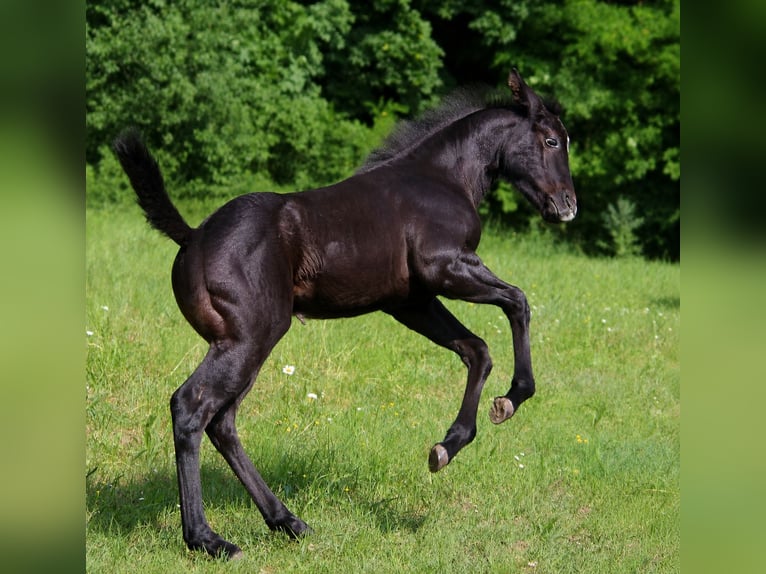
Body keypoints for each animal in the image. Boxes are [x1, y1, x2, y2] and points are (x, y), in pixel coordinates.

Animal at [113, 68, 576, 559]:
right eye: (551, 140)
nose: (568, 205)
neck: (442, 177)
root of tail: (193, 236)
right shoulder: (447, 267)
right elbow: (518, 301)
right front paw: (513, 396)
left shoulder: (409, 301)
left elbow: (477, 349)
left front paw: (449, 445)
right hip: (247, 339)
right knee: (191, 406)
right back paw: (208, 538)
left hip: (246, 346)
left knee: (222, 422)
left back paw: (288, 522)